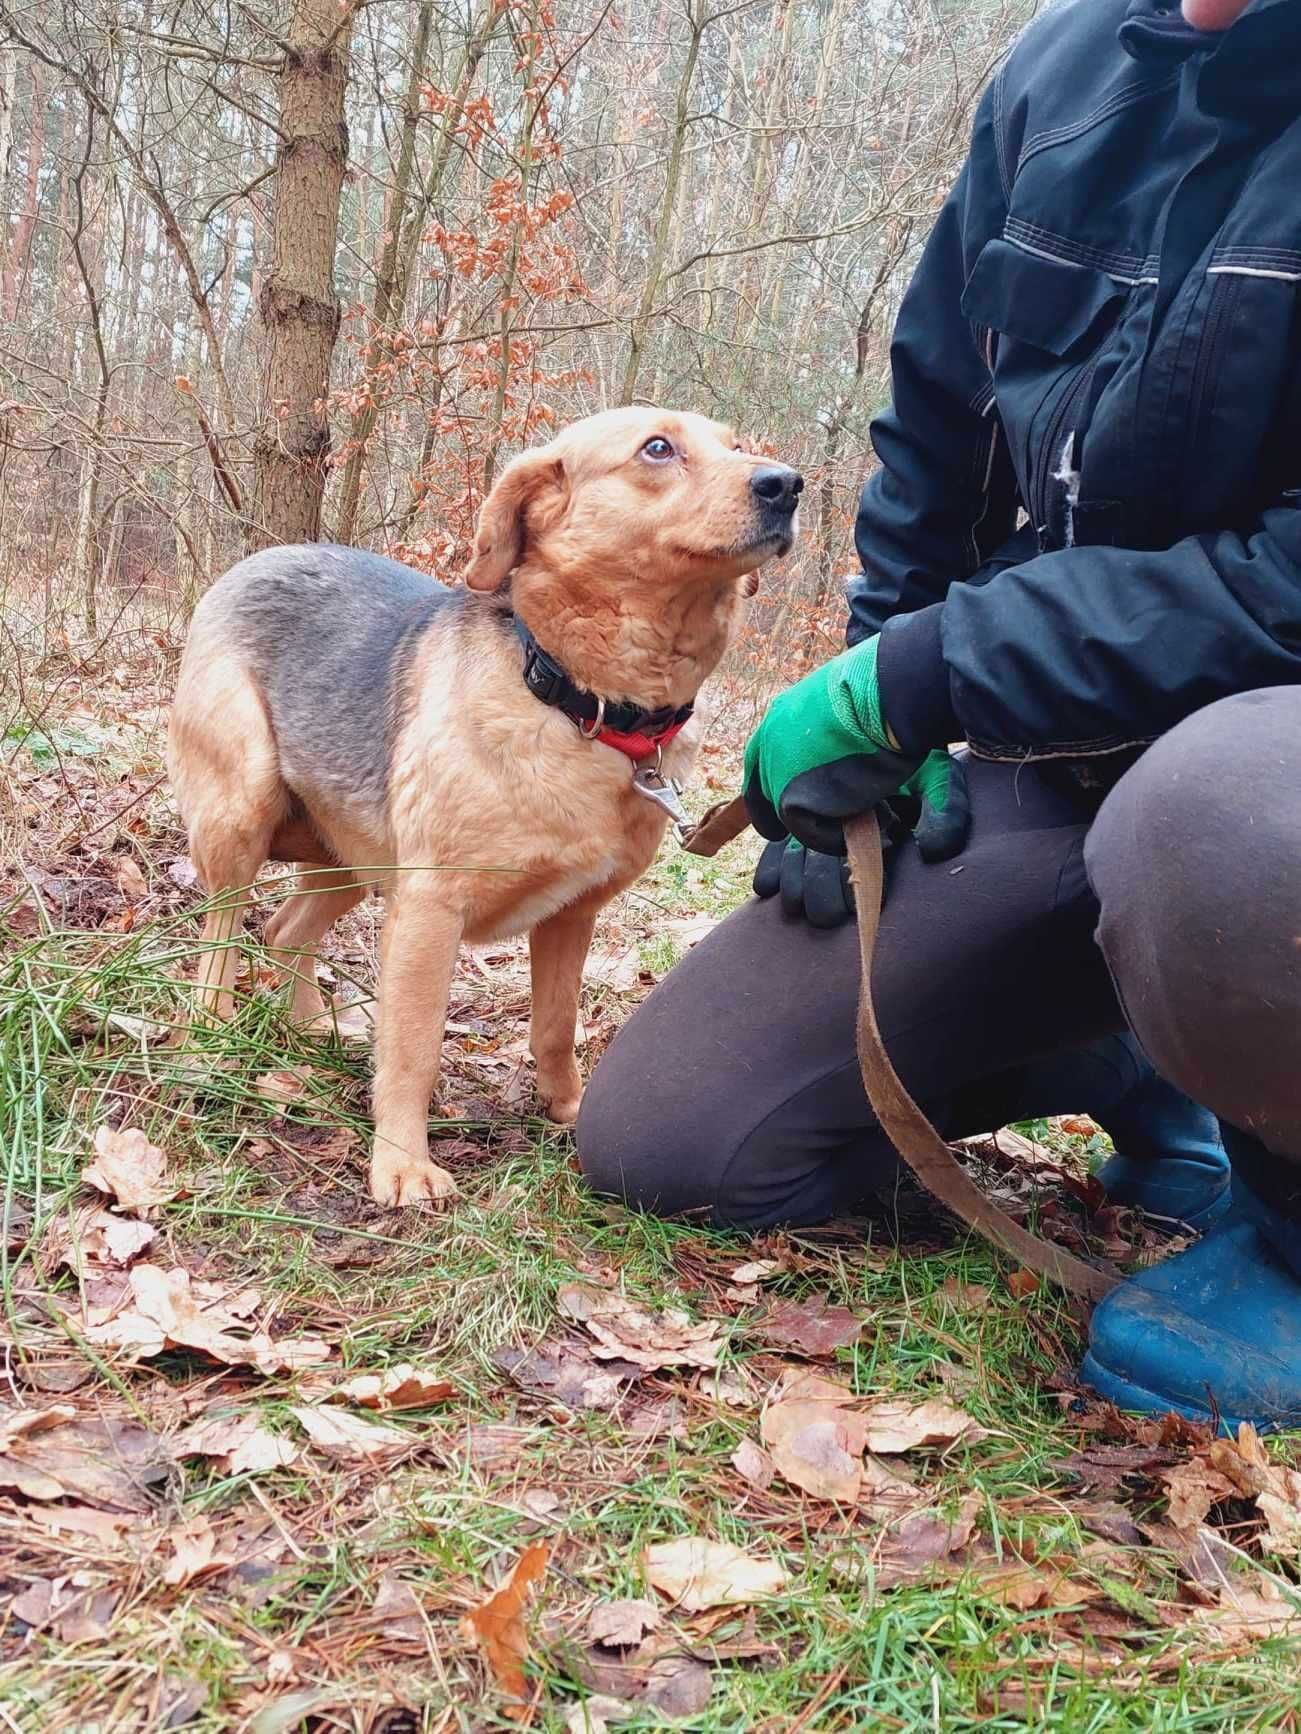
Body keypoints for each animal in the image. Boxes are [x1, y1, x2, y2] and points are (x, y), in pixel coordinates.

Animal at [168, 412, 801, 1213]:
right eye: (657, 448)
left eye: (738, 444)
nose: (787, 483)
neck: (580, 704)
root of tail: (254, 559)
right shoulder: (429, 910)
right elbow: (414, 1049)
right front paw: (402, 1163)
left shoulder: (571, 916)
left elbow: (555, 1029)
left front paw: (568, 1111)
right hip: (244, 809)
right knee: (220, 942)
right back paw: (208, 1040)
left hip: (351, 862)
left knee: (285, 931)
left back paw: (310, 1030)